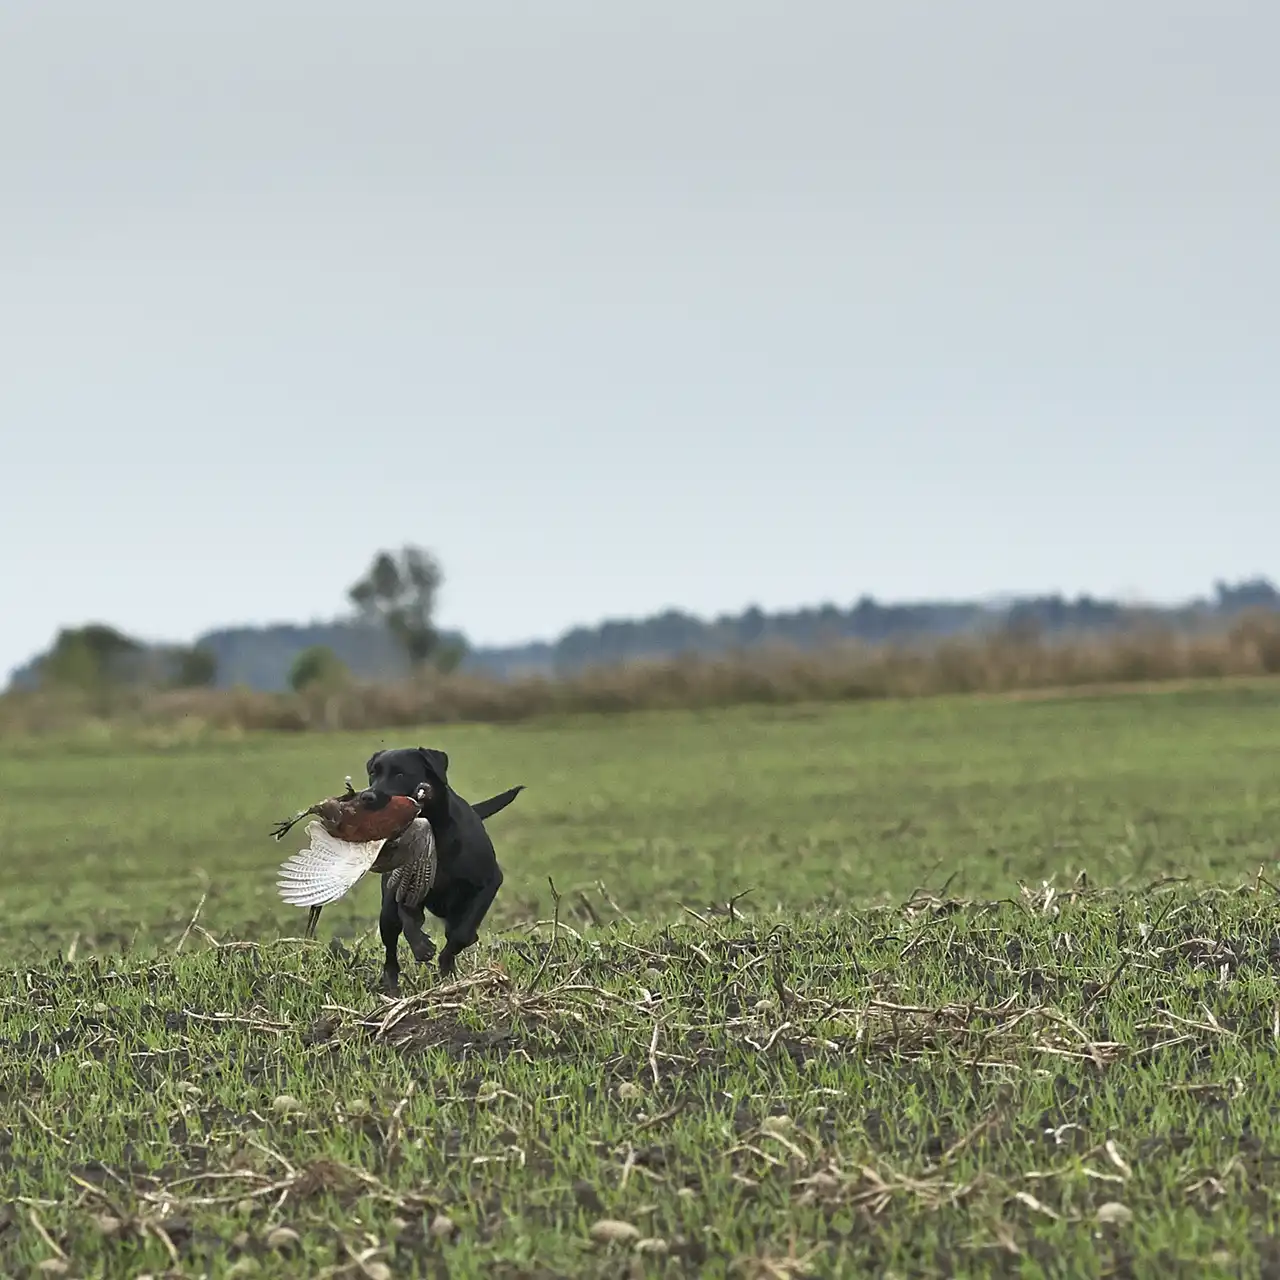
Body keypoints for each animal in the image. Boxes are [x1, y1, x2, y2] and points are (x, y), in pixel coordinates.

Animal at [364, 746, 522, 992]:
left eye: (400, 774)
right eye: (373, 773)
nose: (367, 796)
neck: (435, 834)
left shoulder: (489, 882)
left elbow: (460, 934)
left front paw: (447, 967)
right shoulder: (404, 888)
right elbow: (409, 922)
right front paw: (422, 947)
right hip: (387, 913)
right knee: (391, 952)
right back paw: (391, 986)